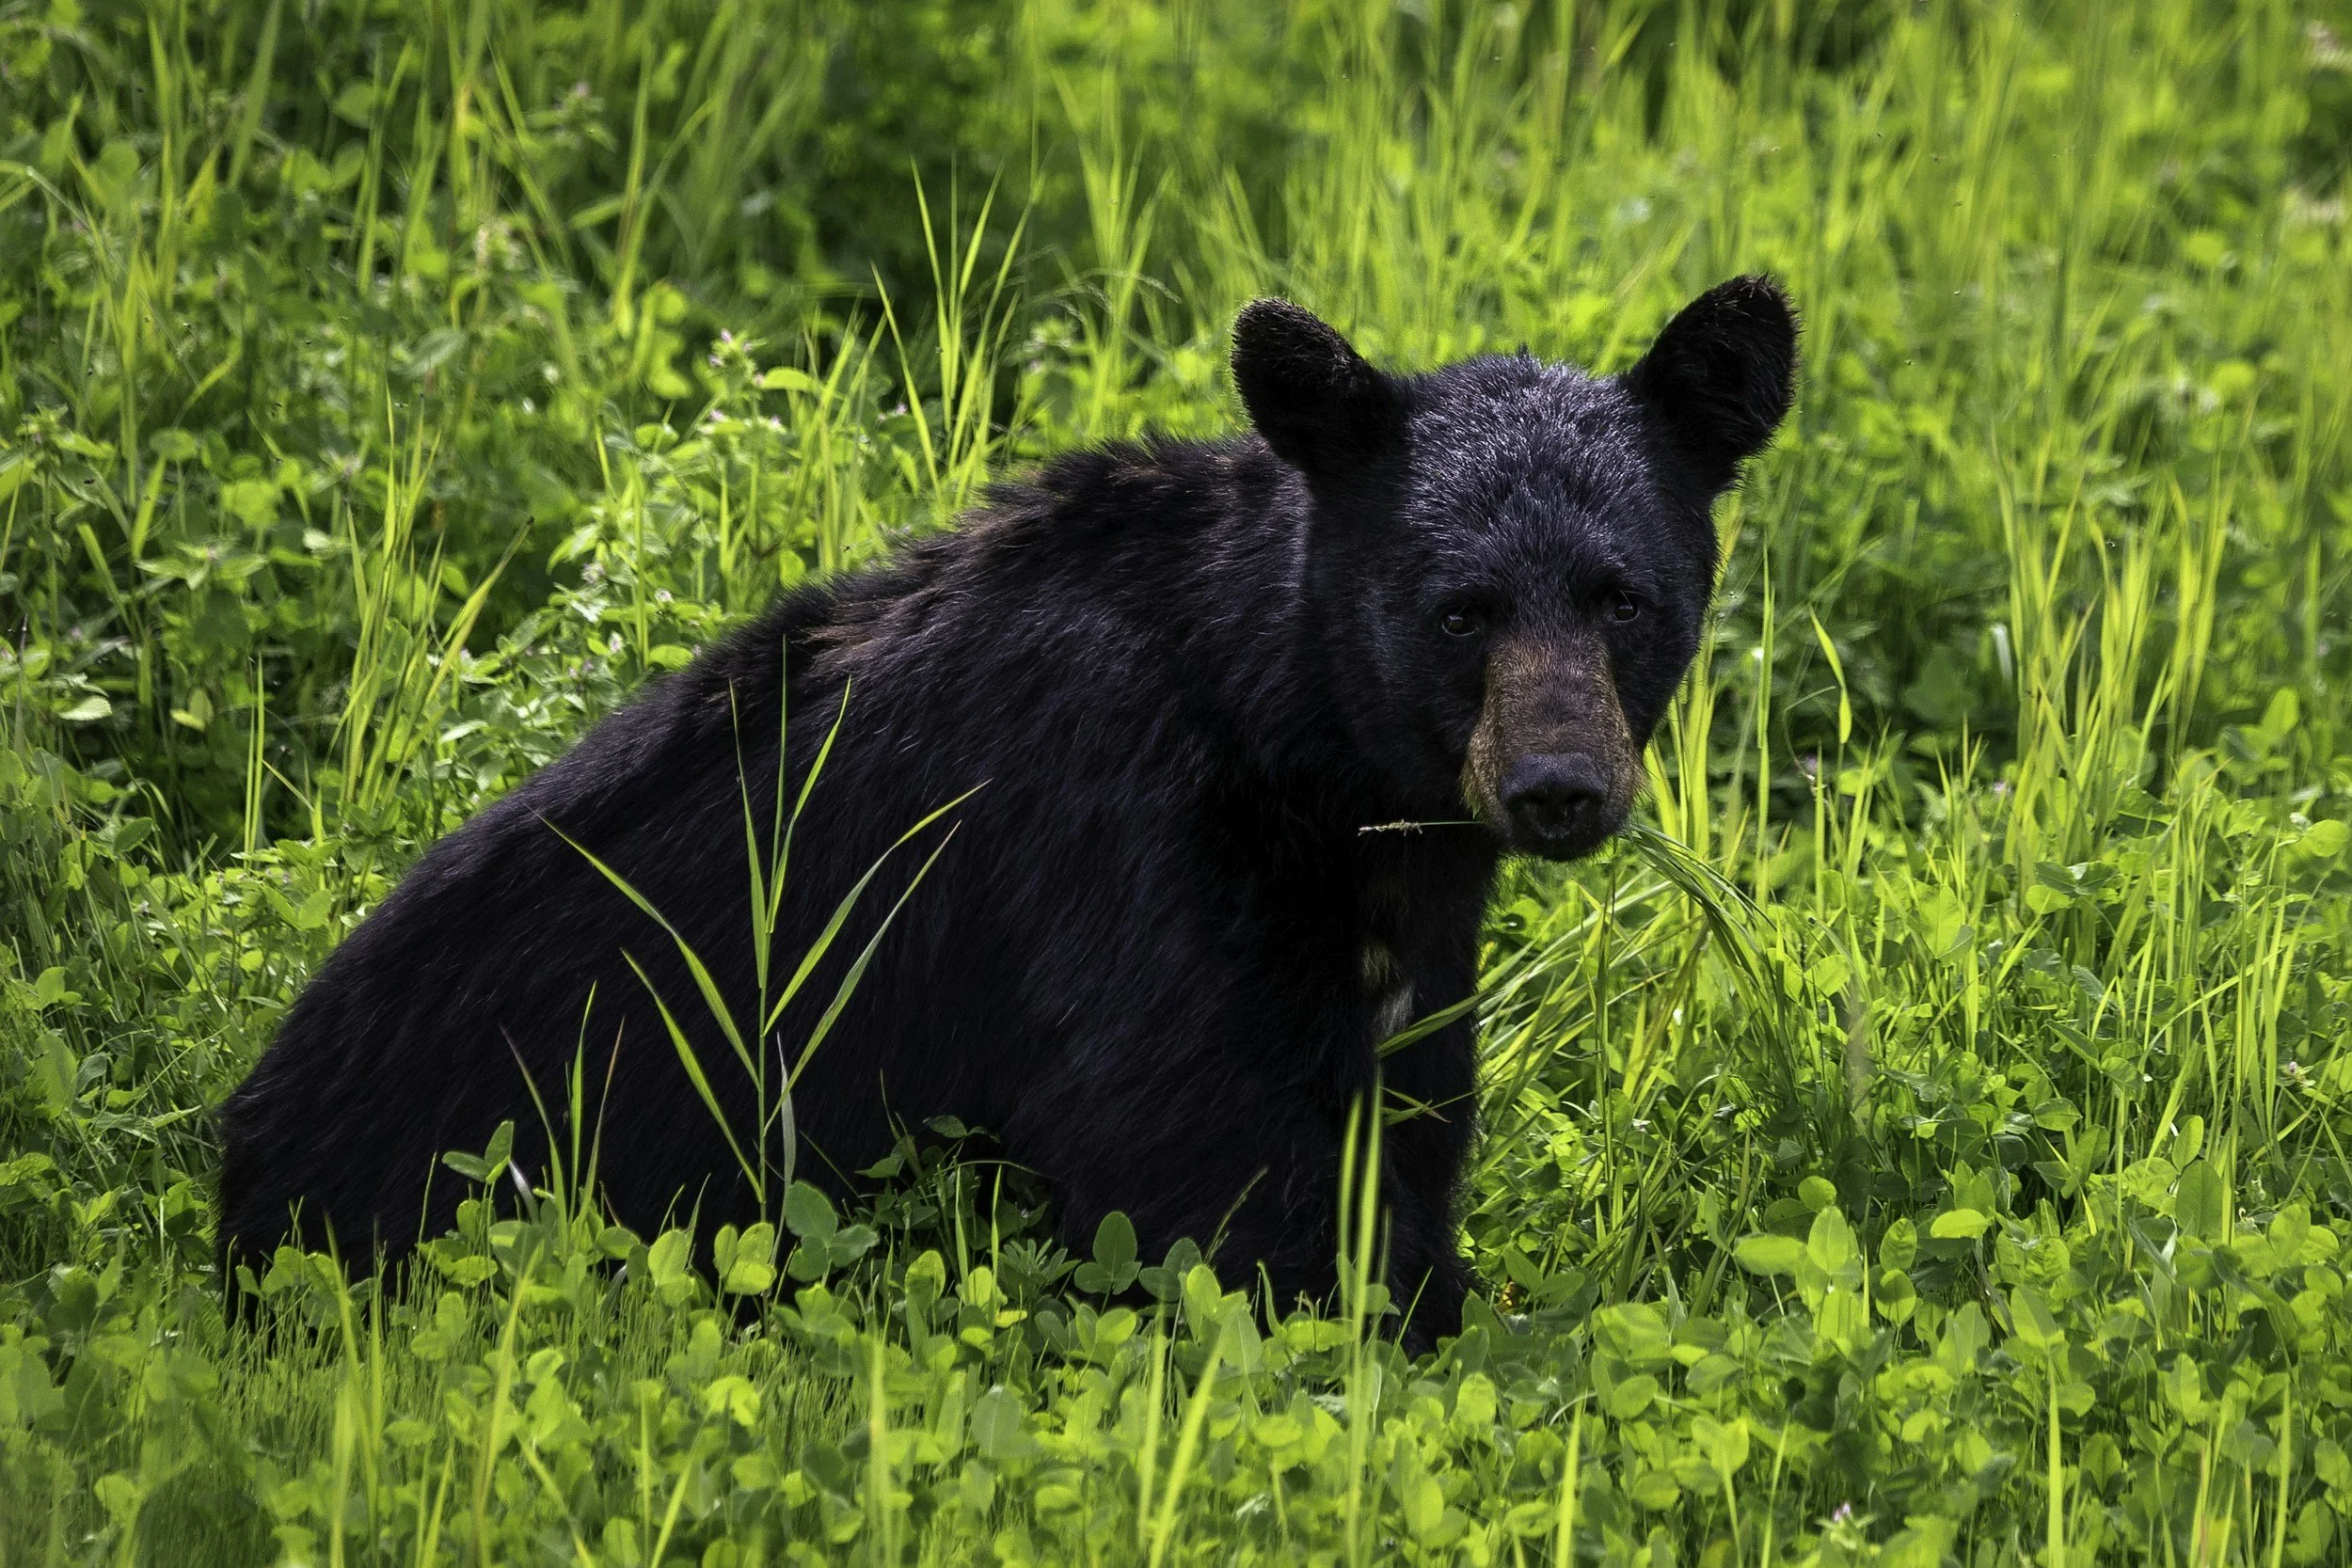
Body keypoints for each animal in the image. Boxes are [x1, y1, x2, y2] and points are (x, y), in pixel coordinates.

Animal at [218, 277, 1796, 1348]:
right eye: (1459, 609)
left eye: (1624, 599)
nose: (1558, 786)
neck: (1300, 754)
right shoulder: (1124, 851)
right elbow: (1202, 1168)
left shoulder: (1397, 933)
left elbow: (1400, 1118)